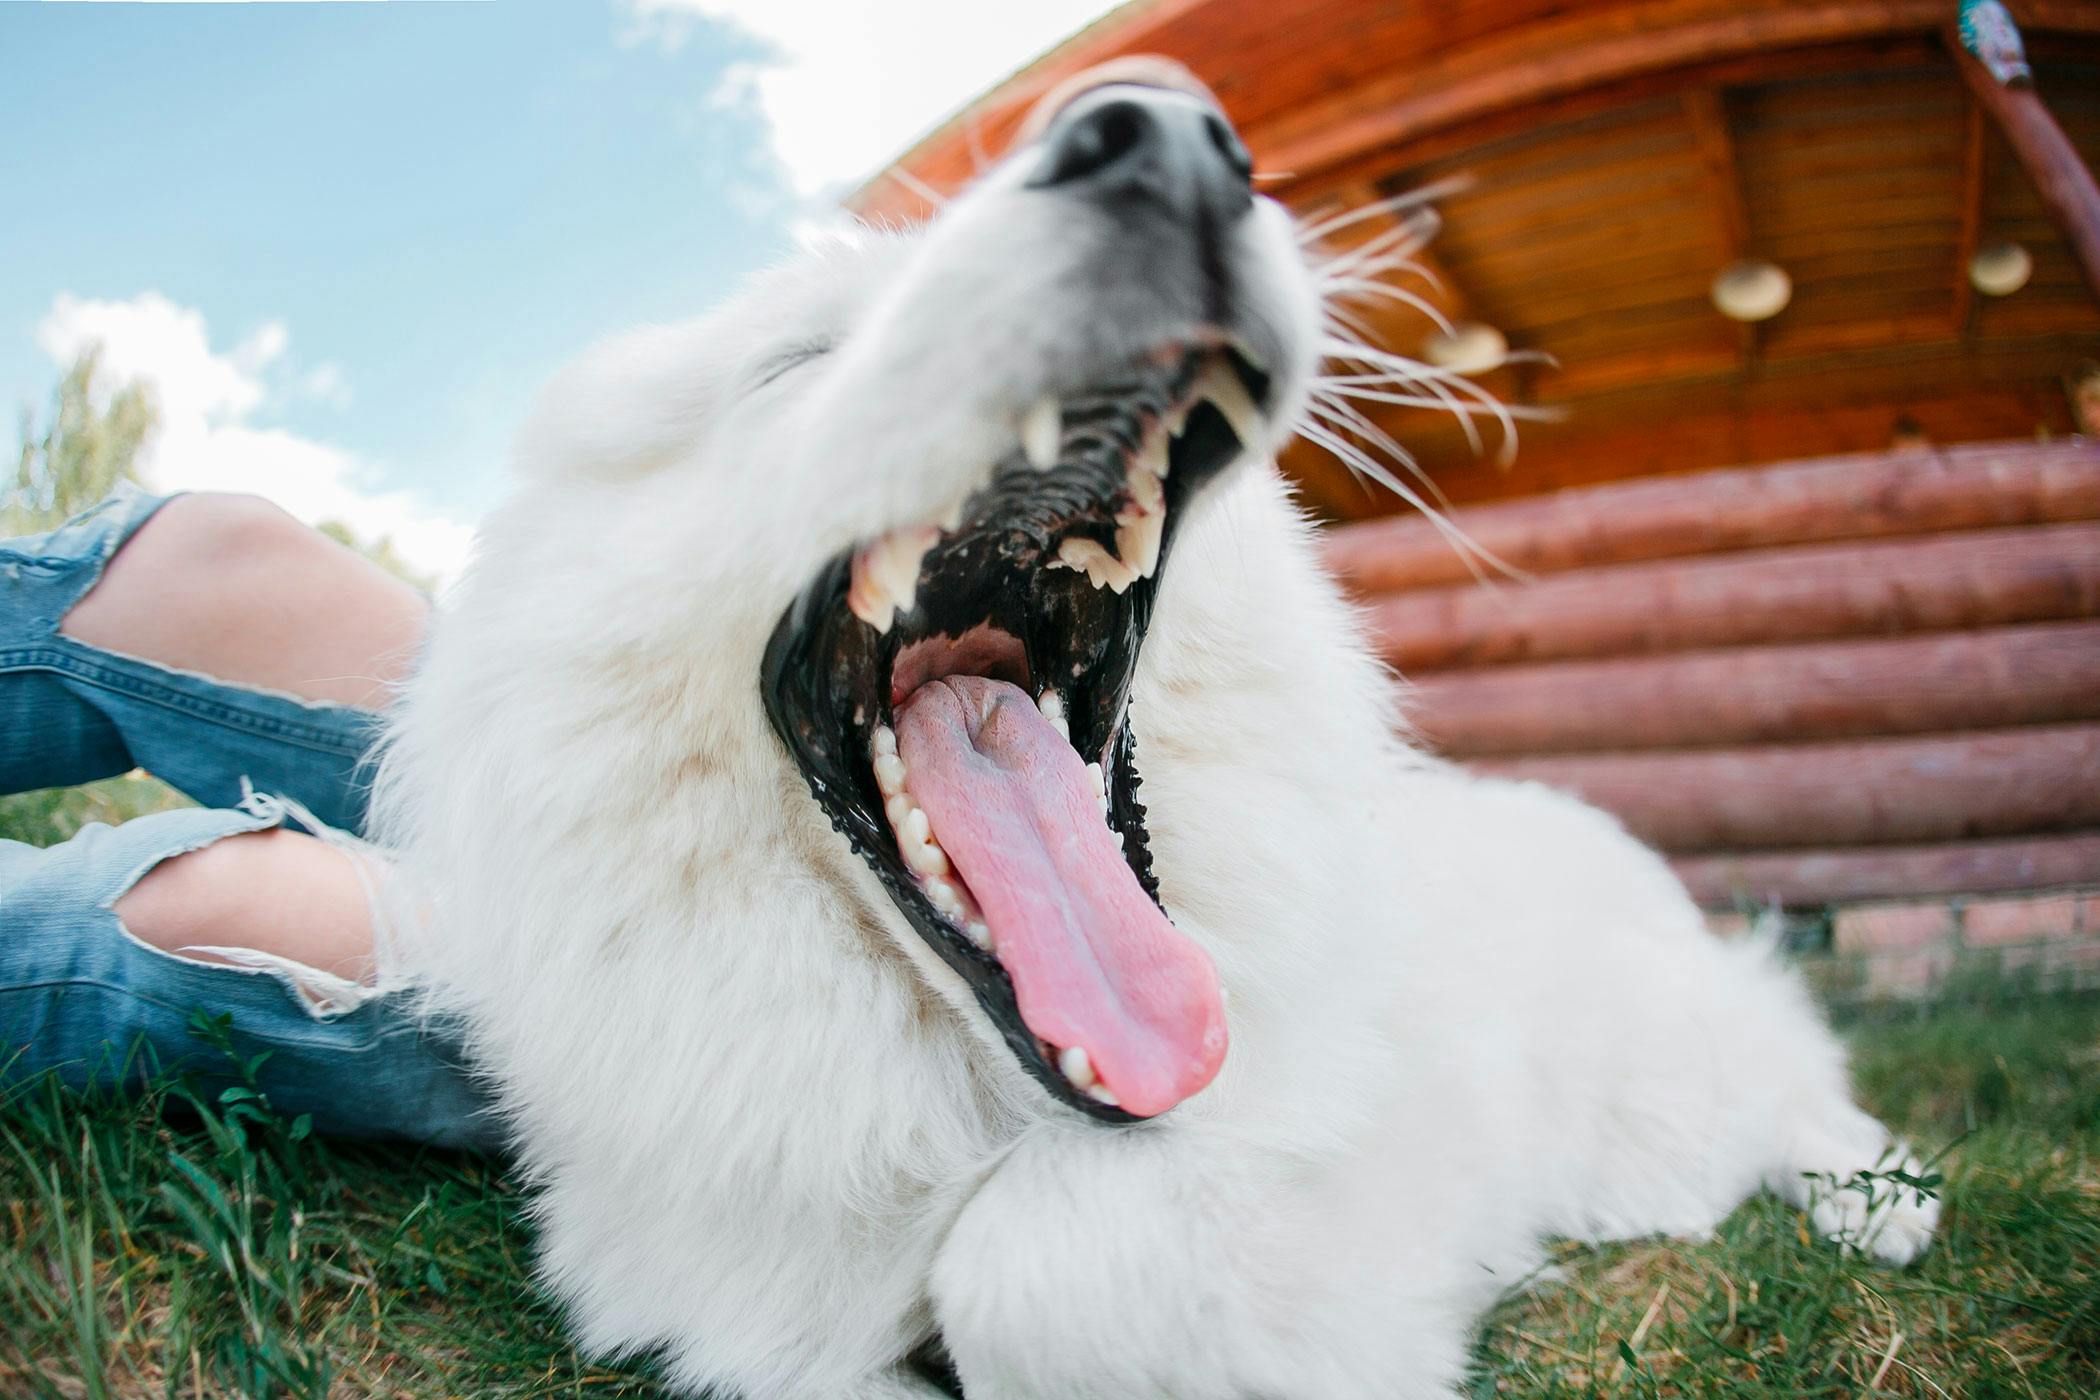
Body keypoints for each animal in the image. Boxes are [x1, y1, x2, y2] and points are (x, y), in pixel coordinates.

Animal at [373, 62, 1931, 1400]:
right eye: (793, 362)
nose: (1172, 138)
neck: (981, 1114)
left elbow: (1040, 1264)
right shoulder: (739, 1305)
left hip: (1658, 1082)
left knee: (1787, 1064)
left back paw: (1885, 1199)